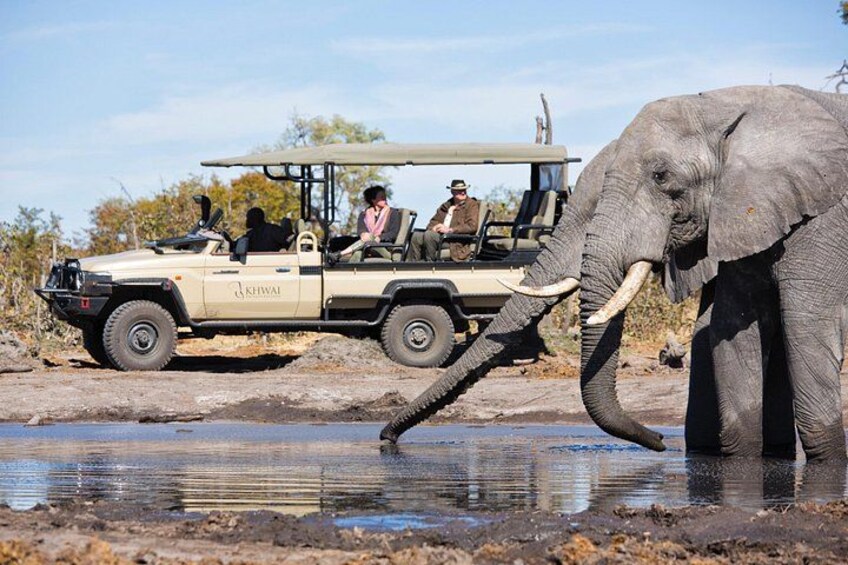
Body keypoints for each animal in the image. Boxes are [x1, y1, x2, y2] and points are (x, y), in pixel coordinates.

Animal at [573, 85, 848, 461]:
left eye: (660, 175)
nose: (660, 438)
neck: (723, 105)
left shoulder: (825, 216)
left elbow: (806, 326)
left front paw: (828, 458)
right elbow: (732, 327)